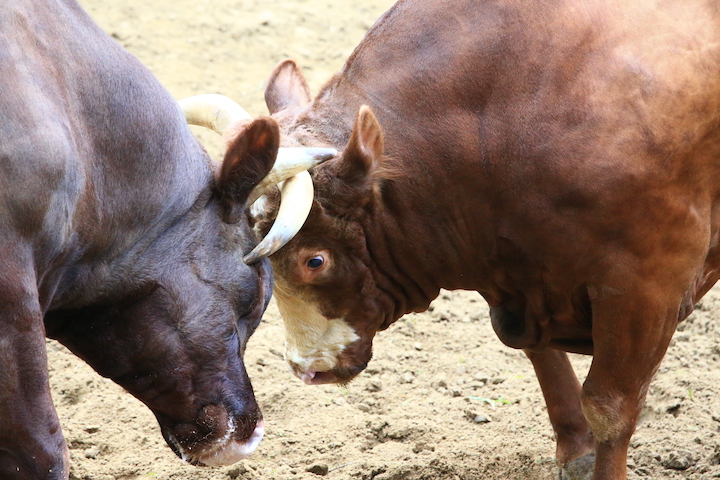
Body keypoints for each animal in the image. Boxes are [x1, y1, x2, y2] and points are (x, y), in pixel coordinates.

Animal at [198, 0, 720, 480]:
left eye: (315, 261)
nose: (307, 368)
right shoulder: (517, 273)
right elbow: (541, 355)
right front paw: (576, 453)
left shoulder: (645, 286)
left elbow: (610, 407)